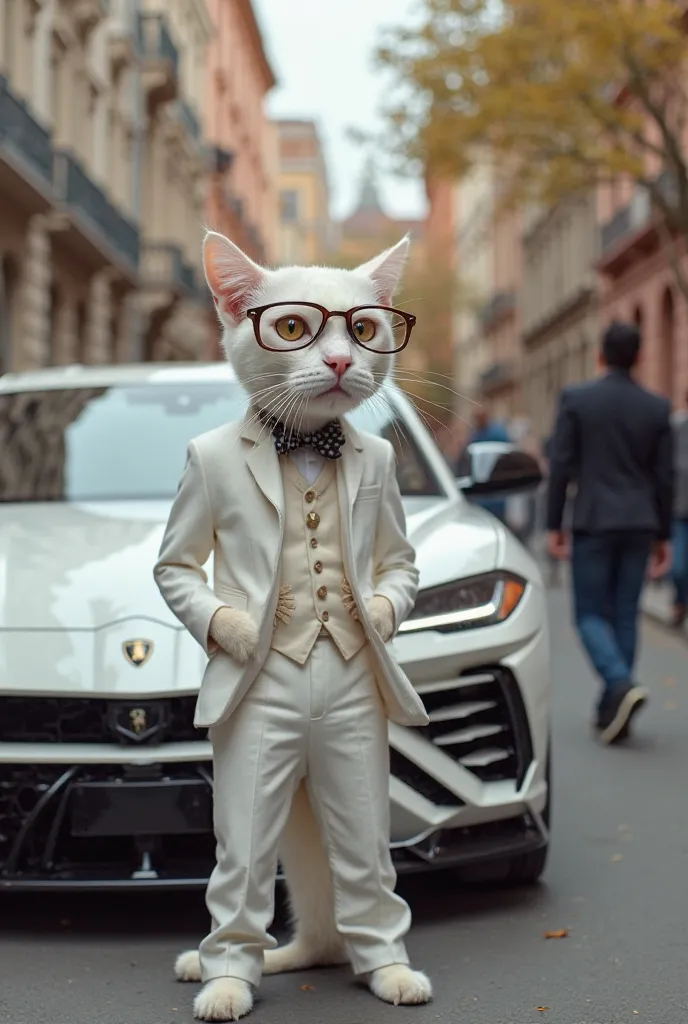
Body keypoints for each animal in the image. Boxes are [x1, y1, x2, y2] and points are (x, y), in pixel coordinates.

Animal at [173, 228, 430, 1019]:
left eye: (366, 329)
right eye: (292, 327)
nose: (343, 361)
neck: (310, 448)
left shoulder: (388, 511)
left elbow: (395, 573)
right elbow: (178, 570)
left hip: (346, 769)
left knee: (350, 910)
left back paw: (380, 967)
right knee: (261, 915)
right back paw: (226, 971)